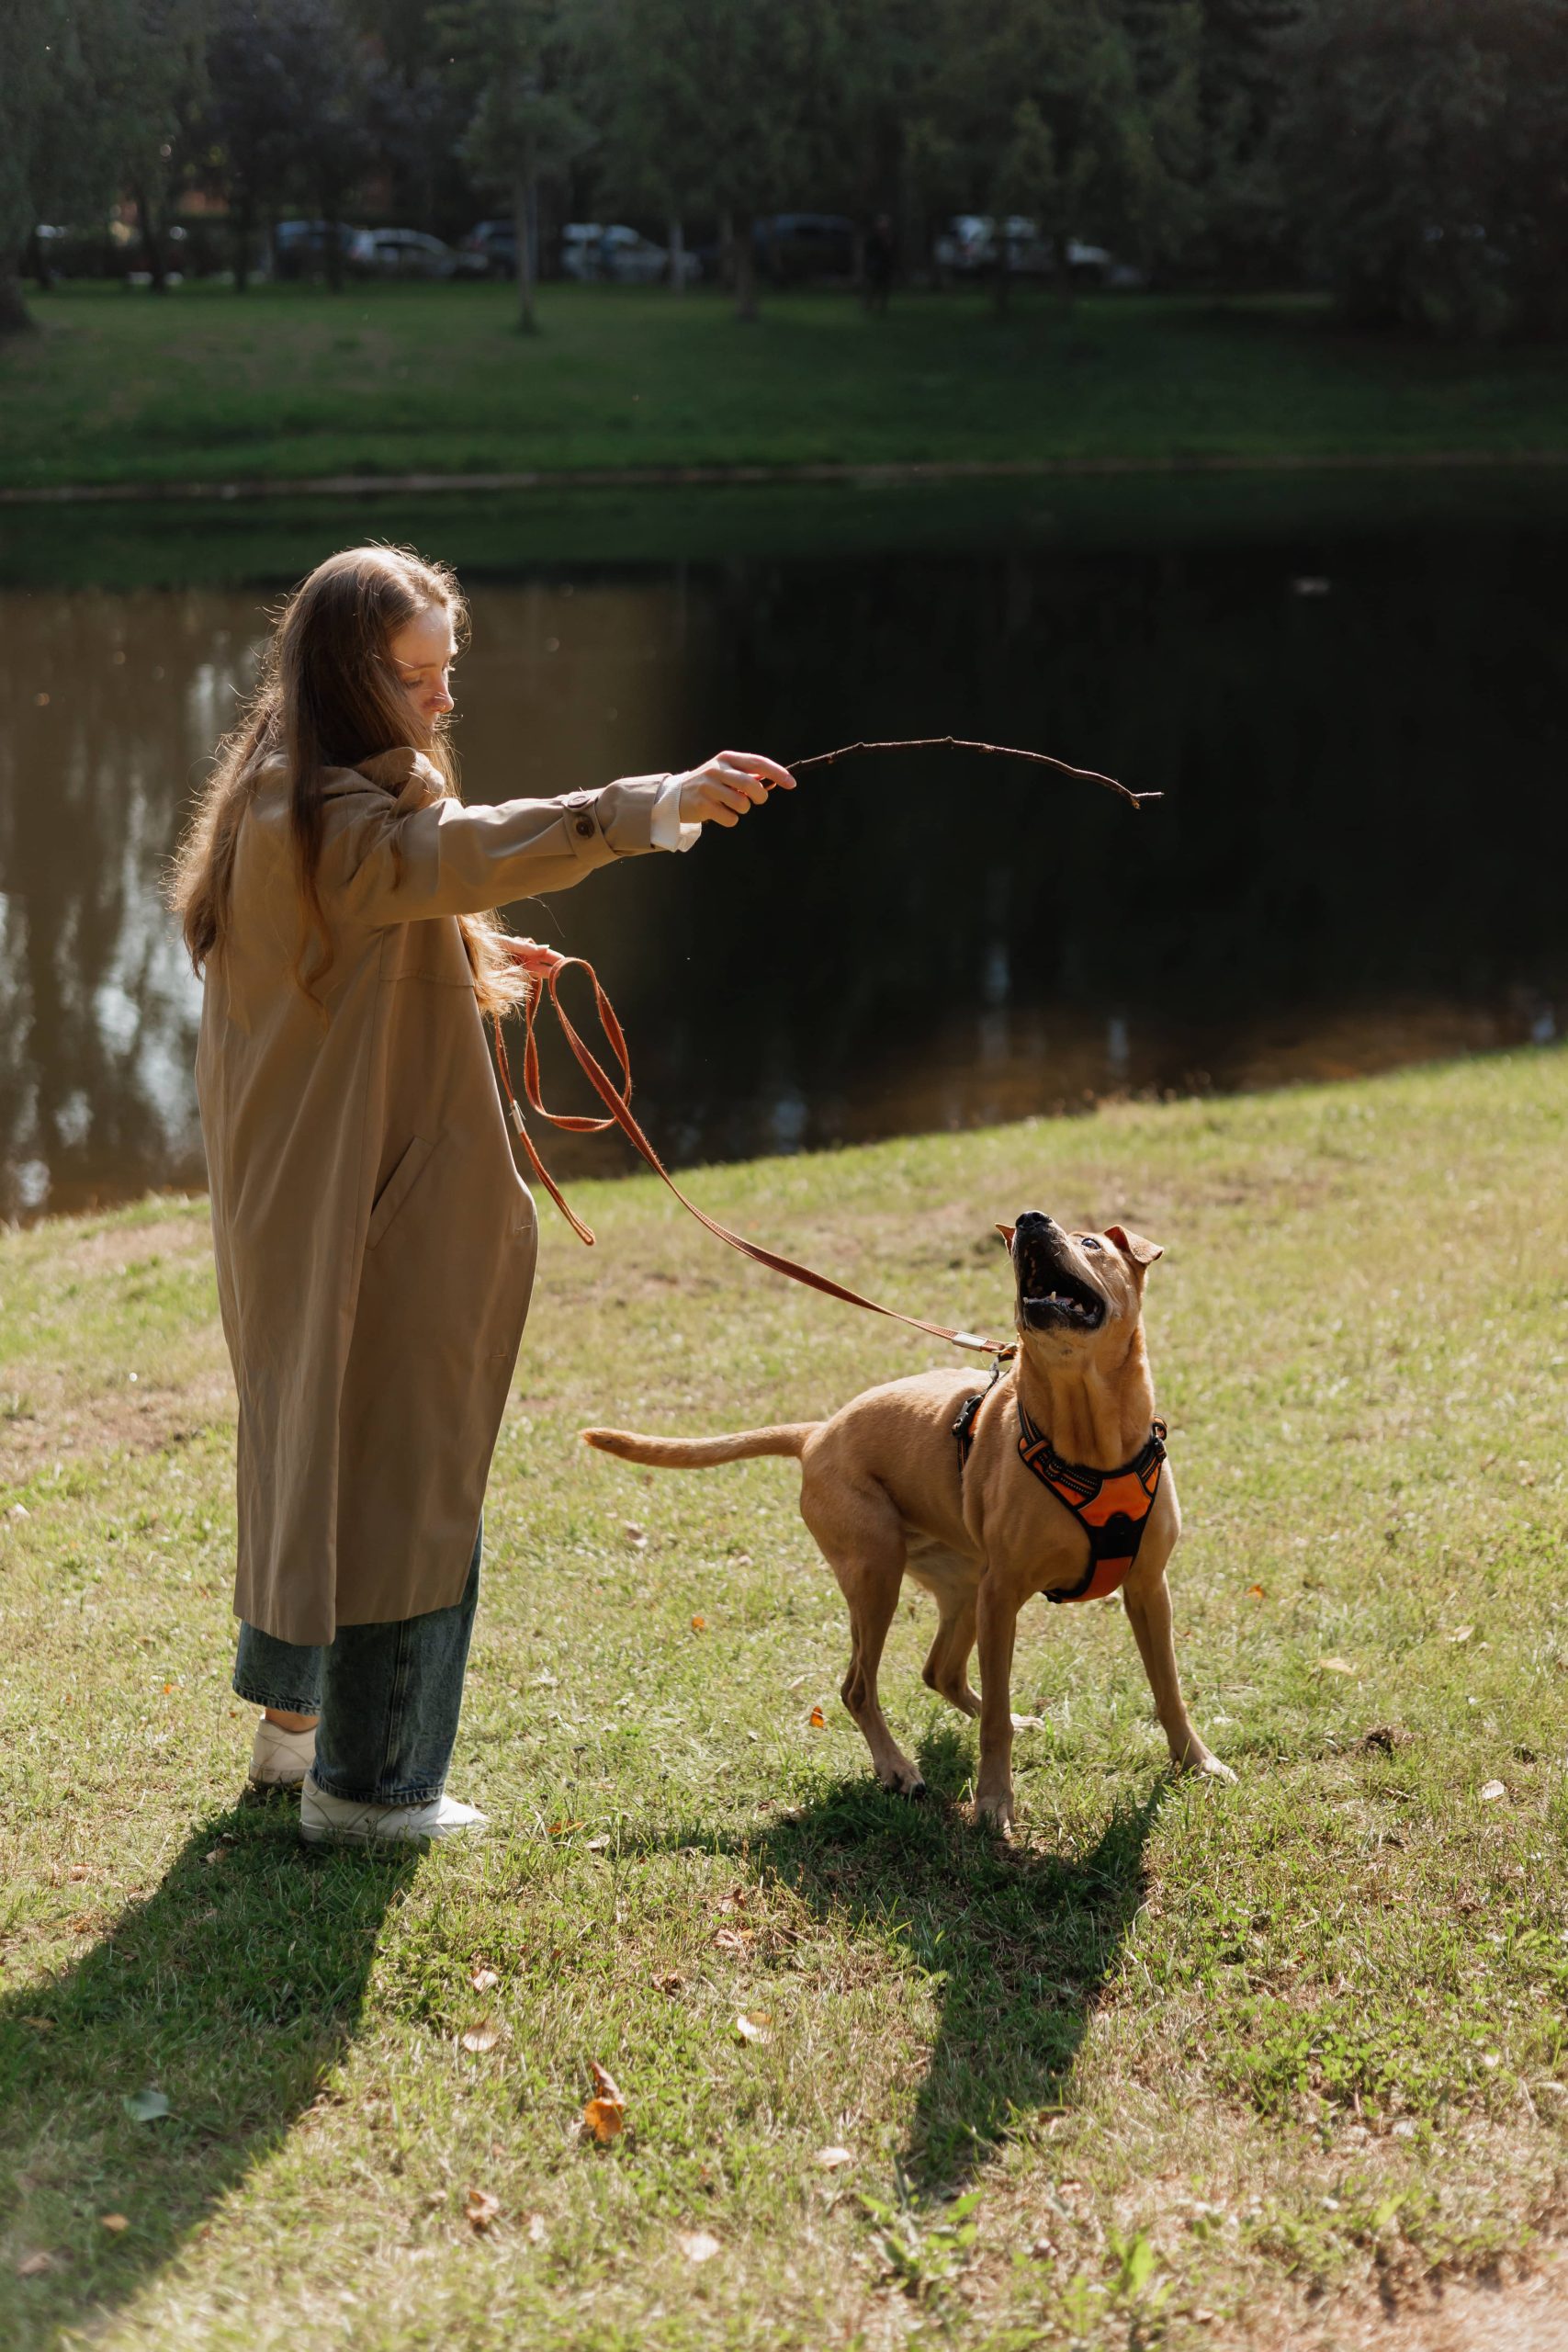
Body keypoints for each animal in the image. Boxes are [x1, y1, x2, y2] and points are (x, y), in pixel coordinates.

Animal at [582, 1213, 1232, 1815]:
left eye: (1091, 1242)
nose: (1028, 1222)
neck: (1086, 1442)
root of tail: (815, 1434)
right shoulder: (1003, 1595)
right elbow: (994, 1714)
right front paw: (994, 1801)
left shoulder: (1147, 1587)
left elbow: (1168, 1688)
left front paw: (1197, 1762)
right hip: (878, 1575)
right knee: (858, 1688)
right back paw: (897, 1769)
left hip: (961, 1583)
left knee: (939, 1672)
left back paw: (1001, 1727)